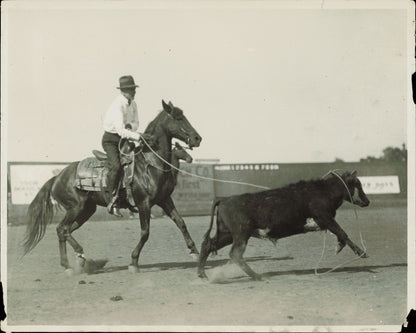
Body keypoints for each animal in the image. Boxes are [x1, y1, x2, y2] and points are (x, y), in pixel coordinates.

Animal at [24, 100, 203, 272]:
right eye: (178, 118)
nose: (197, 138)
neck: (150, 164)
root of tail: (57, 177)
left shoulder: (165, 200)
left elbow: (181, 222)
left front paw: (195, 251)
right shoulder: (143, 203)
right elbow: (145, 232)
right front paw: (134, 262)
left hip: (87, 210)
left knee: (66, 230)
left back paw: (75, 262)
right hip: (75, 207)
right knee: (62, 229)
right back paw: (74, 260)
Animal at [198, 170, 370, 278]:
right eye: (358, 185)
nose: (367, 201)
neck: (324, 191)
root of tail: (224, 199)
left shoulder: (325, 222)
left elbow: (340, 234)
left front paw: (339, 247)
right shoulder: (325, 218)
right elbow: (342, 232)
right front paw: (362, 253)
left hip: (227, 233)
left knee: (208, 244)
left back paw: (202, 274)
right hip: (241, 233)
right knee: (235, 254)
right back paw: (257, 276)